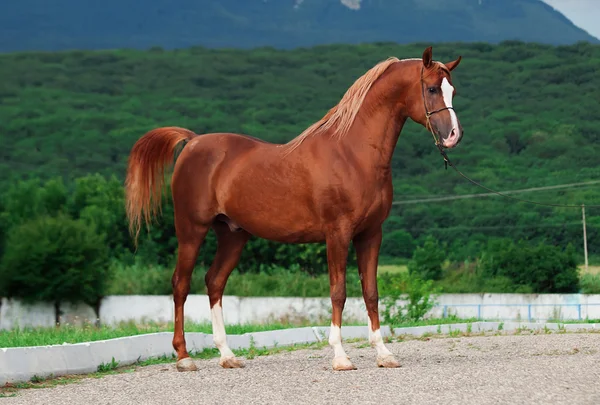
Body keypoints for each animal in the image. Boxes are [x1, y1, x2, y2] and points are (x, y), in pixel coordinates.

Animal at [125, 45, 464, 370]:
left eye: (453, 90)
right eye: (431, 88)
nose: (453, 136)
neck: (352, 154)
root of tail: (193, 141)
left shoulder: (371, 234)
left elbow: (371, 293)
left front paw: (384, 354)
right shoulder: (337, 233)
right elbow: (338, 292)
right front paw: (340, 357)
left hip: (233, 235)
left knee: (214, 282)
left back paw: (227, 355)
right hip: (191, 229)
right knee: (181, 285)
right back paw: (184, 357)